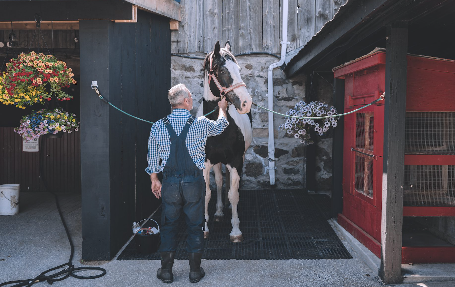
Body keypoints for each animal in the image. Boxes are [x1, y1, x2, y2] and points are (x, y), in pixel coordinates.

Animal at [196, 41, 253, 243]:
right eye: (221, 70)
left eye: (238, 69)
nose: (246, 102)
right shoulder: (205, 163)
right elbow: (207, 193)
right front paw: (204, 228)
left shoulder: (235, 160)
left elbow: (234, 194)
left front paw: (235, 231)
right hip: (216, 162)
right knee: (220, 182)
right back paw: (220, 212)